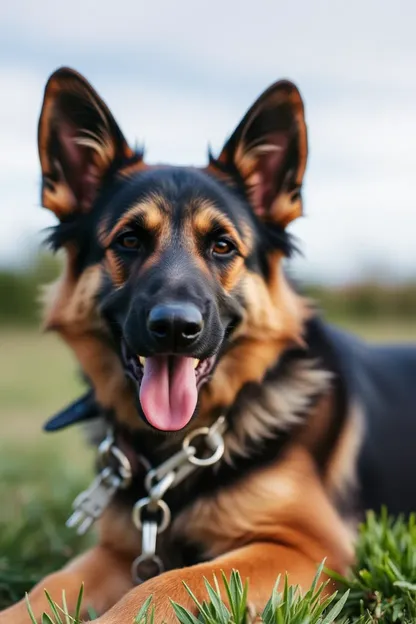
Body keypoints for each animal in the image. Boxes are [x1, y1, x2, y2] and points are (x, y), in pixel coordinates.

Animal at [1, 68, 414, 624]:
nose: (176, 327)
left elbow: (164, 584)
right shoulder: (116, 551)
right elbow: (46, 589)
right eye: (129, 240)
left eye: (222, 245)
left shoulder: (311, 548)